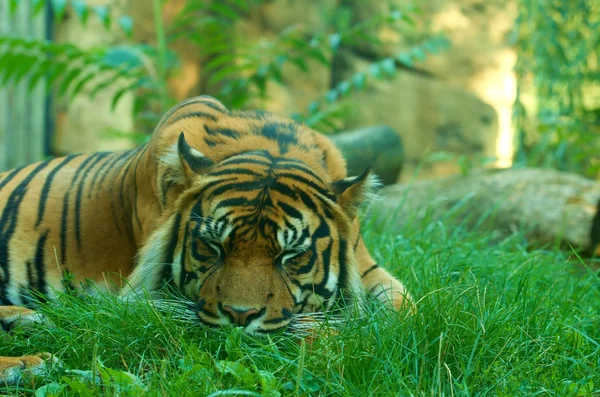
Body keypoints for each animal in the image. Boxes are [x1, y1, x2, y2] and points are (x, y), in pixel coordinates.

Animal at [0, 96, 412, 384]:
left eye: (291, 255)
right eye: (213, 247)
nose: (240, 316)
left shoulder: (369, 268)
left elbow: (405, 311)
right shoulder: (143, 300)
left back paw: (26, 320)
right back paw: (28, 364)